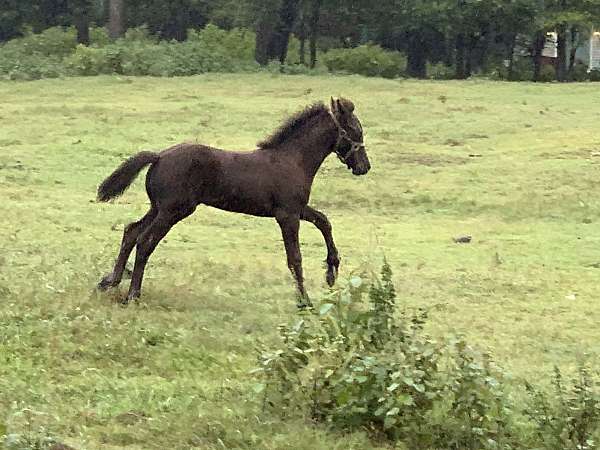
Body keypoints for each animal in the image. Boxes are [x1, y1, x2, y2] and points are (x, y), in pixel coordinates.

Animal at [97, 96, 370, 304]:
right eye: (355, 130)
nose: (364, 167)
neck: (293, 160)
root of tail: (159, 156)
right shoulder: (287, 215)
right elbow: (295, 258)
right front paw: (305, 301)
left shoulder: (296, 208)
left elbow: (324, 221)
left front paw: (332, 271)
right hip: (173, 211)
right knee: (145, 241)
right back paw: (133, 295)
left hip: (159, 208)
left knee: (131, 231)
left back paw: (110, 281)